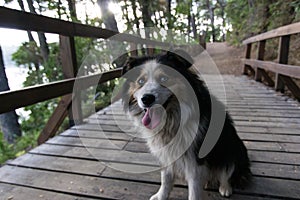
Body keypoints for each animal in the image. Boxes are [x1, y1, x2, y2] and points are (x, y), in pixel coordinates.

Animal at [119, 49, 251, 199]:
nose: (146, 99)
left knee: (227, 172)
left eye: (164, 79)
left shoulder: (196, 160)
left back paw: (225, 187)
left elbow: (194, 189)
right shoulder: (166, 154)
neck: (172, 123)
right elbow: (166, 177)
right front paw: (161, 195)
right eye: (140, 81)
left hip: (234, 150)